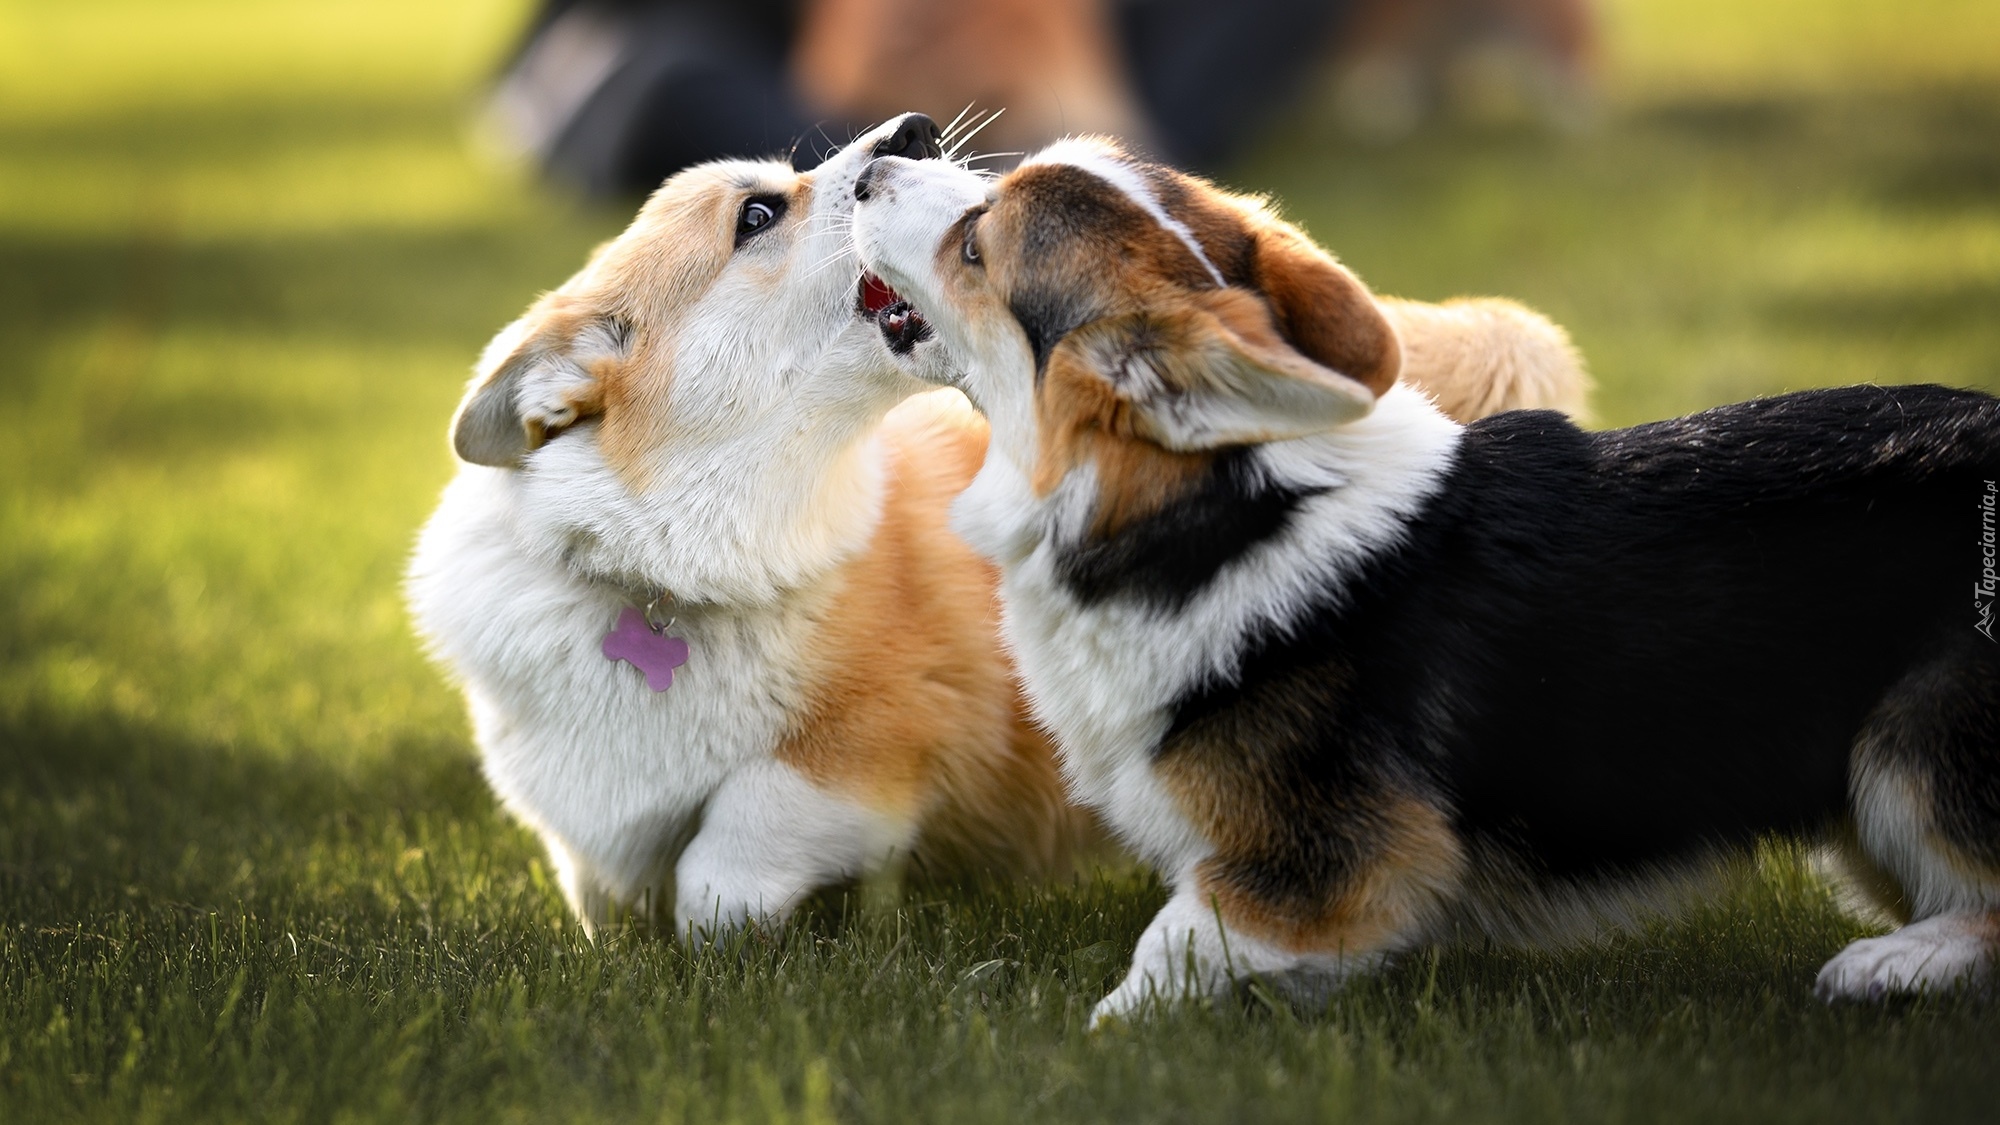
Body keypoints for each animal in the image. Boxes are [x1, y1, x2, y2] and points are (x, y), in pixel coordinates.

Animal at [410, 114, 1592, 936]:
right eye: (756, 214)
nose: (914, 131)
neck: (671, 572)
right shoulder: (583, 836)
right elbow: (607, 898)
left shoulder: (865, 757)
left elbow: (725, 859)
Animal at [852, 133, 2000, 1016]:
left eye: (974, 240)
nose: (880, 157)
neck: (1209, 518)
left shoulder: (1328, 863)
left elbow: (1166, 949)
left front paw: (1096, 1030)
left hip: (1902, 758)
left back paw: (1891, 964)